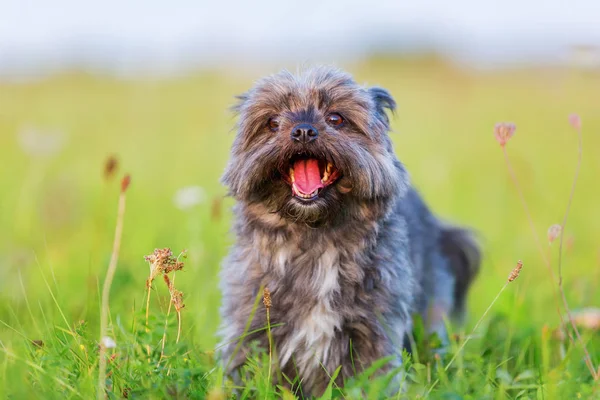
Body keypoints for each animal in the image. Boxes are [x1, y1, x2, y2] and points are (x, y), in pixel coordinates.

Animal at [218, 66, 480, 396]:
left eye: (336, 118)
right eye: (272, 122)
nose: (303, 130)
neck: (314, 236)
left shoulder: (373, 330)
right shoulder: (253, 324)